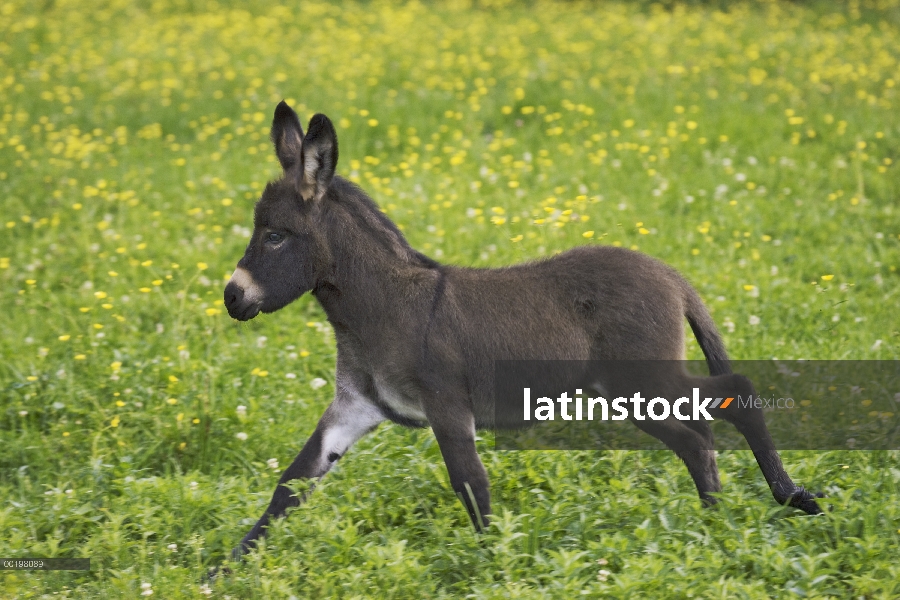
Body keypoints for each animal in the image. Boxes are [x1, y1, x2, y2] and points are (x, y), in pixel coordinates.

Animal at [220, 102, 824, 564]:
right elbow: (290, 484)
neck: (381, 308)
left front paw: (493, 566)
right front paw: (224, 570)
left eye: (275, 236)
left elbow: (471, 482)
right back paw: (714, 522)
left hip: (641, 381)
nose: (231, 296)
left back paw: (779, 503)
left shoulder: (447, 406)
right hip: (631, 392)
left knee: (732, 397)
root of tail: (669, 273)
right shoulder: (354, 407)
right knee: (699, 435)